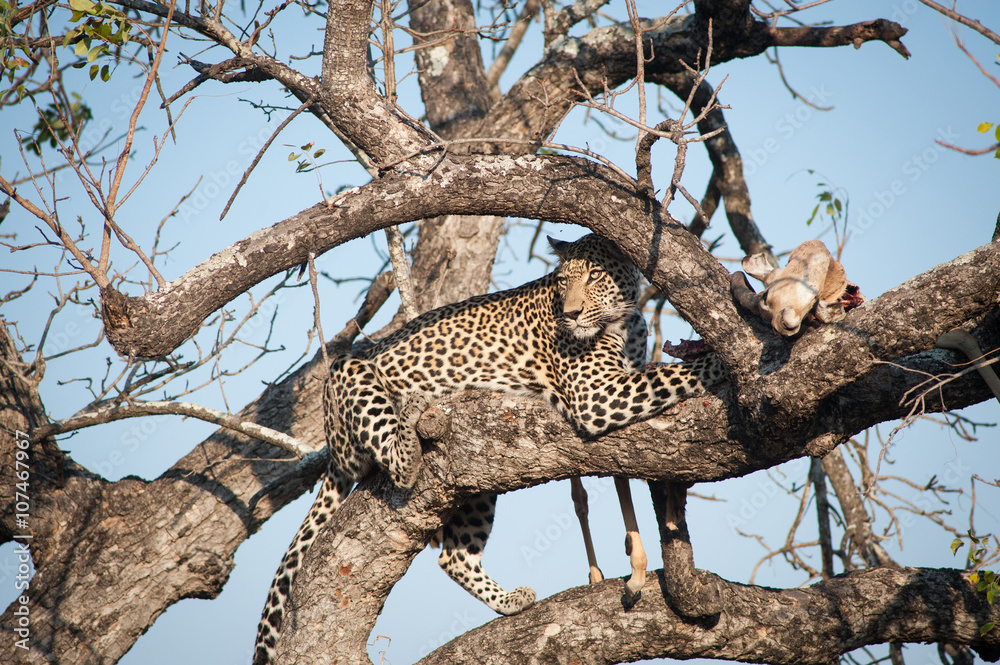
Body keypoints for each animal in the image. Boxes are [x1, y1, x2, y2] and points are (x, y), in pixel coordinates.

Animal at [254, 234, 726, 664]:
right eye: (563, 281)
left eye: (594, 276)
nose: (571, 313)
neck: (624, 322)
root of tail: (331, 442)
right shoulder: (596, 397)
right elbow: (670, 375)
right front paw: (725, 361)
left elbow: (622, 479)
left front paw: (637, 566)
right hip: (347, 374)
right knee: (398, 464)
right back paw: (409, 422)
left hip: (474, 488)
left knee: (454, 556)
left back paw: (511, 600)